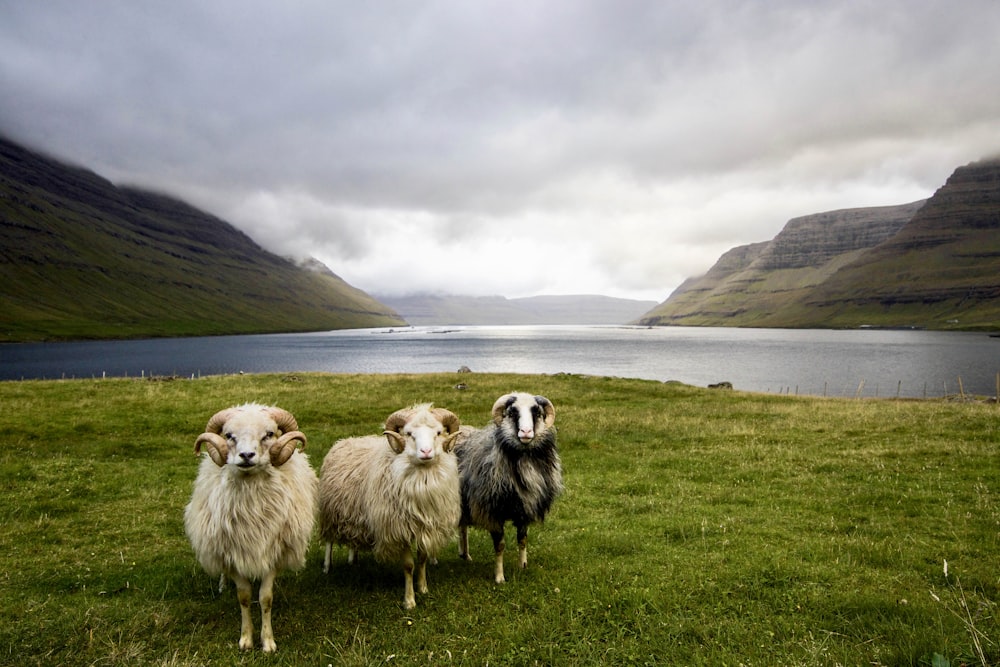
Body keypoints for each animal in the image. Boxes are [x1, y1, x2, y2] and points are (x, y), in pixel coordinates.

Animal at [183, 404, 316, 656]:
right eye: (229, 435)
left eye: (269, 434)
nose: (246, 456)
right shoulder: (233, 554)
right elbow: (244, 597)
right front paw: (246, 639)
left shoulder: (273, 553)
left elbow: (265, 598)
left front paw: (268, 641)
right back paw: (222, 584)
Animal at [318, 404, 462, 608]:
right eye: (409, 433)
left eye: (438, 432)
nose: (426, 452)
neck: (422, 481)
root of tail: (345, 441)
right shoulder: (398, 529)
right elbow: (409, 565)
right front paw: (409, 601)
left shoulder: (425, 526)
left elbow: (423, 559)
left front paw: (423, 587)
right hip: (330, 512)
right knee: (329, 541)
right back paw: (327, 567)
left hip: (354, 514)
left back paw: (353, 560)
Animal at [456, 394, 564, 580]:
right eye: (512, 413)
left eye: (537, 412)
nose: (526, 432)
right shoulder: (493, 513)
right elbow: (500, 546)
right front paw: (499, 577)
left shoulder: (524, 510)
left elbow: (522, 539)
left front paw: (523, 566)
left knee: (463, 528)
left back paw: (466, 555)